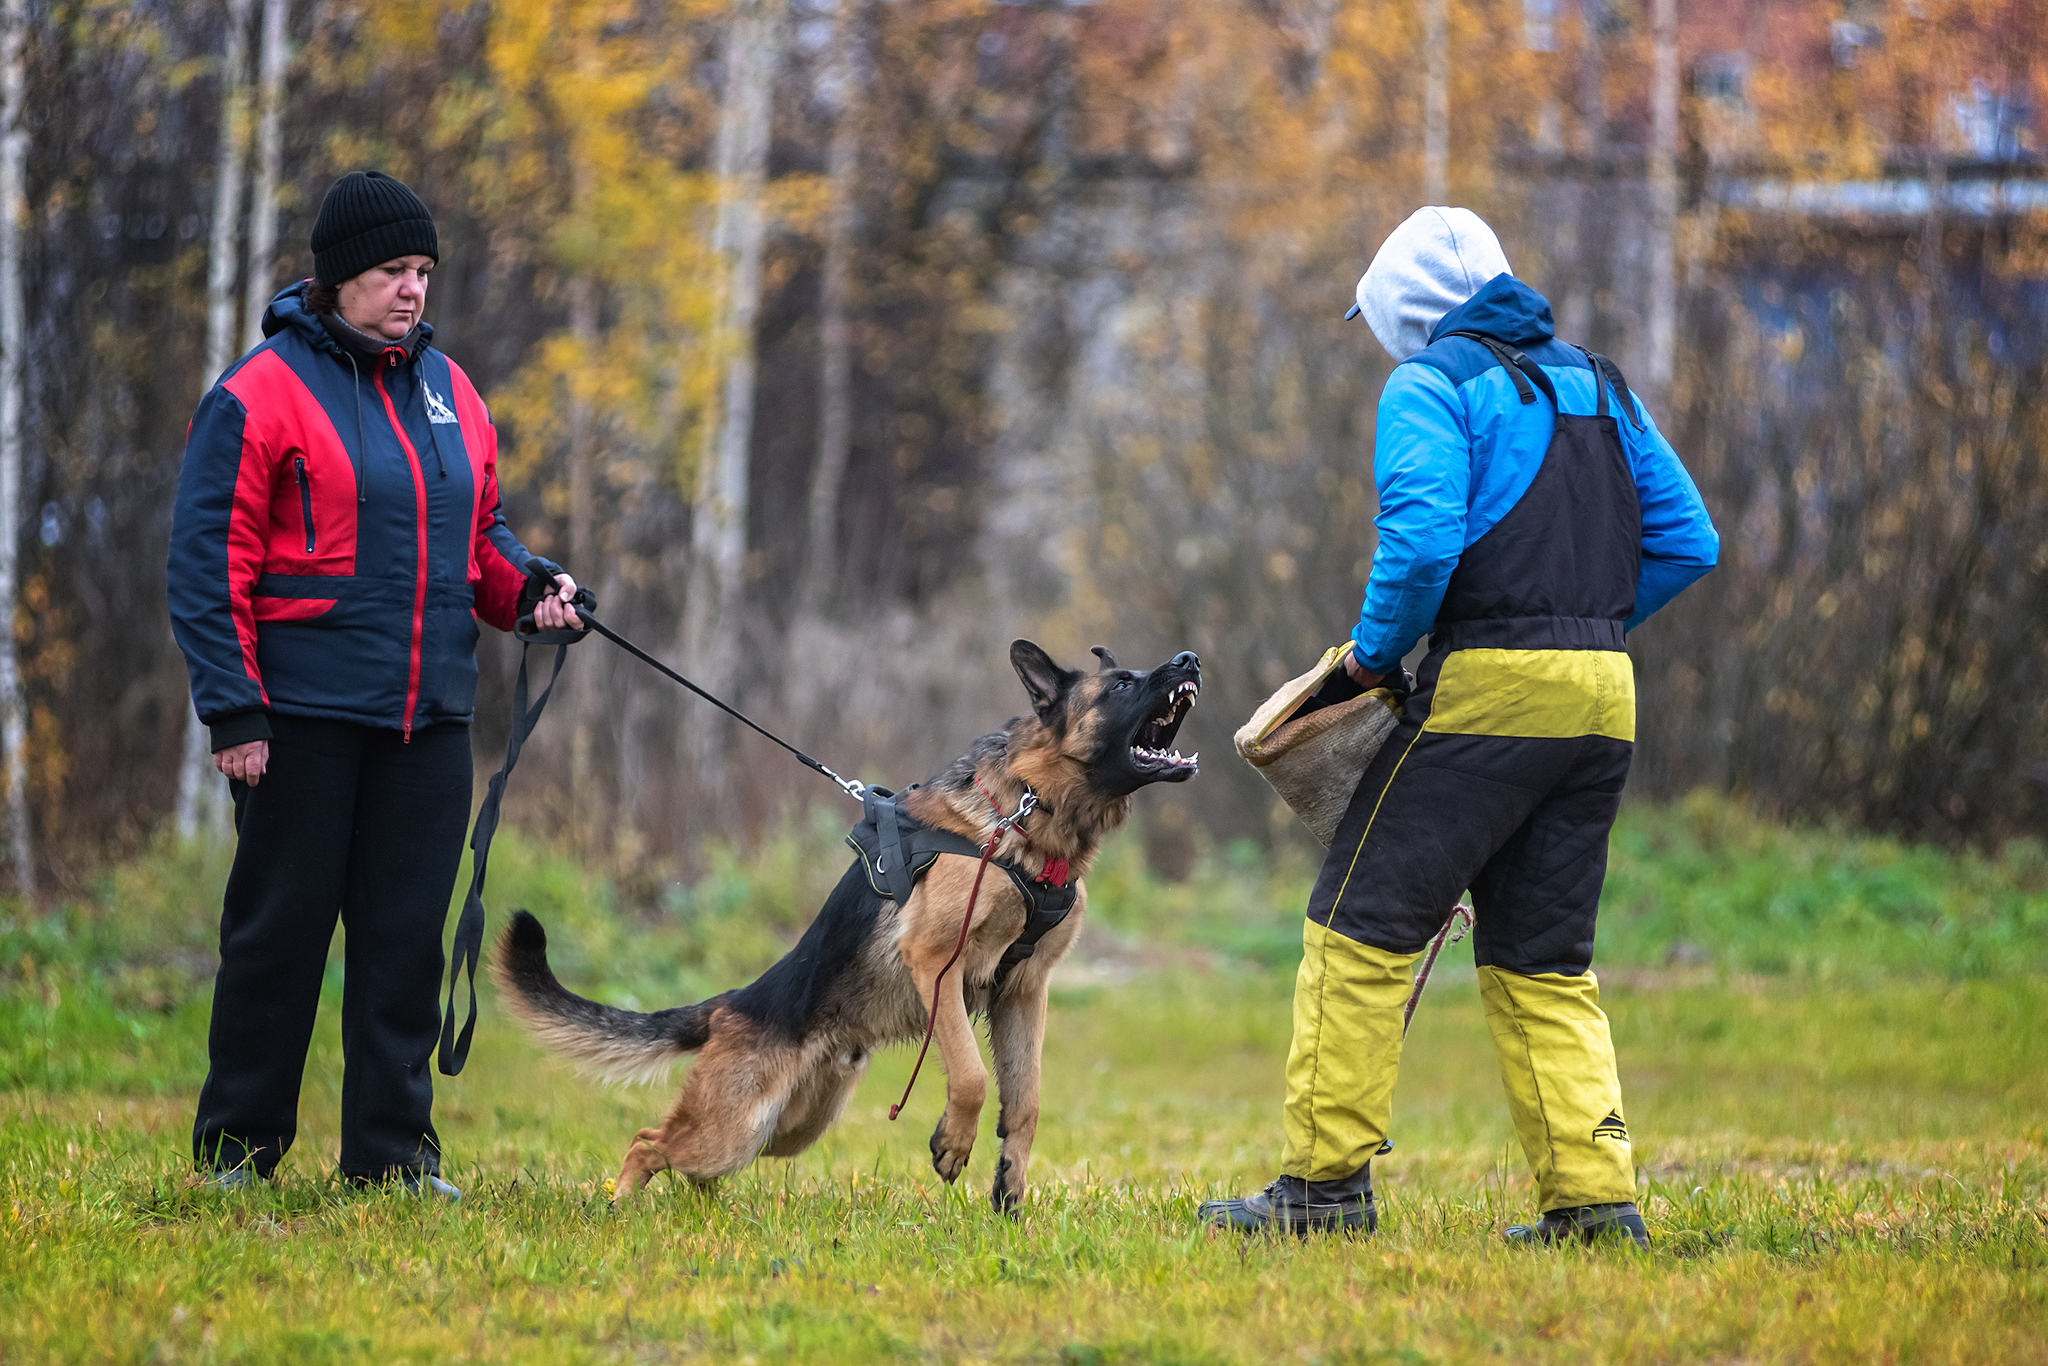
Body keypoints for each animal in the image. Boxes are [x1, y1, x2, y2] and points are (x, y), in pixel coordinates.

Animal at [493, 638, 1196, 1204]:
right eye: (1123, 684)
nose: (1189, 660)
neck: (1026, 814)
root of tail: (733, 1003)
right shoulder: (936, 963)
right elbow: (970, 1075)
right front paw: (953, 1143)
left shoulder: (1023, 991)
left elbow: (1025, 1103)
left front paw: (1010, 1193)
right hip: (736, 1127)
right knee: (647, 1141)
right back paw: (620, 1209)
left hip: (787, 1129)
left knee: (691, 1167)